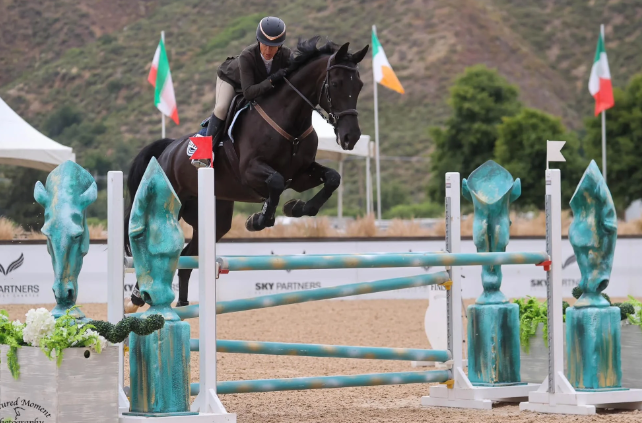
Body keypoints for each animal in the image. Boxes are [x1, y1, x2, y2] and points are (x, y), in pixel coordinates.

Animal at [124, 36, 369, 311]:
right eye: (335, 84)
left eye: (359, 85)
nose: (350, 137)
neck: (289, 121)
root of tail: (167, 150)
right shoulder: (250, 172)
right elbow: (276, 183)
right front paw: (259, 220)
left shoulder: (300, 175)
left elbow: (332, 179)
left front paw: (296, 207)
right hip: (167, 205)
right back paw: (138, 295)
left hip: (213, 217)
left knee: (187, 258)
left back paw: (183, 305)